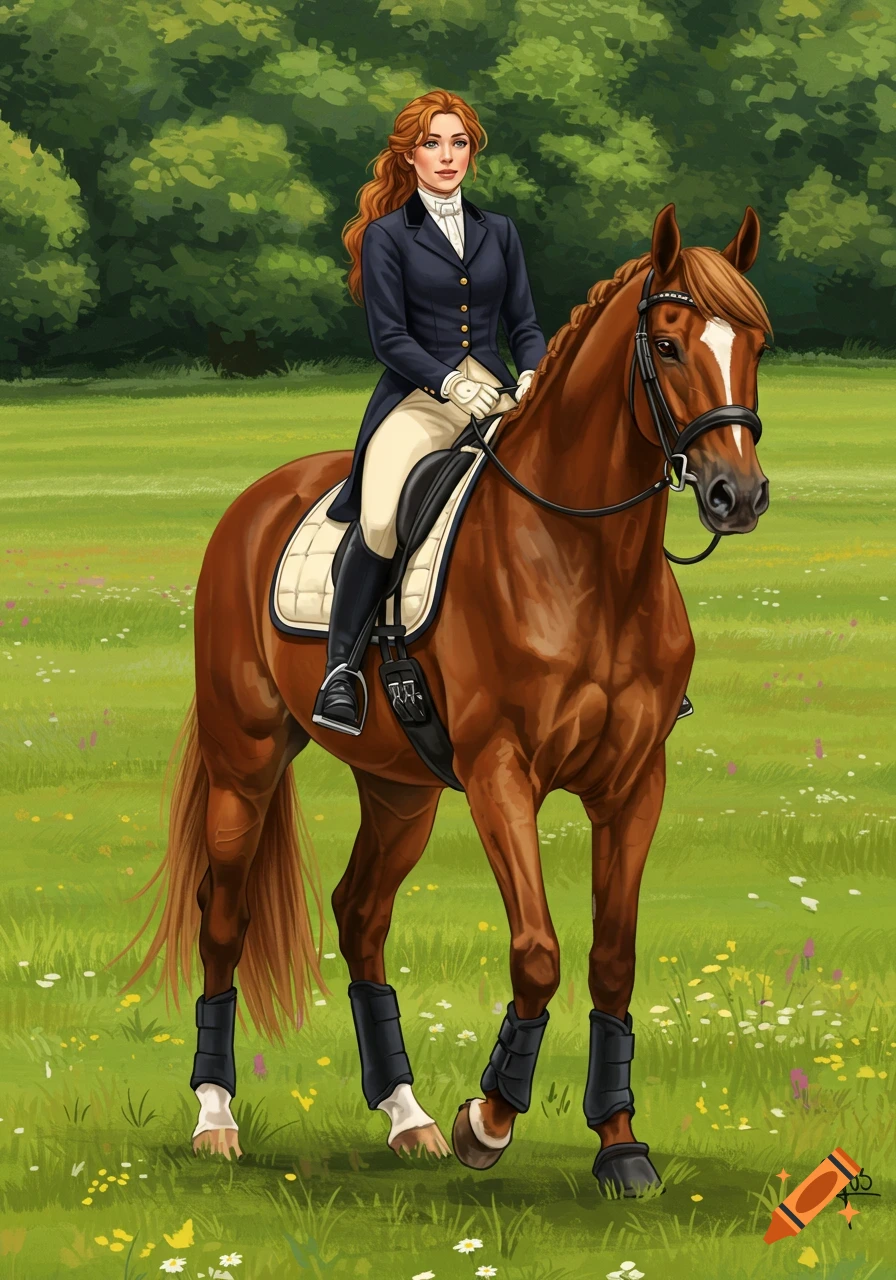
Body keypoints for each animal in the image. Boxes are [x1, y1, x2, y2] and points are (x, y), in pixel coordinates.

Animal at [115, 203, 770, 1196]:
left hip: (401, 787)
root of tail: (257, 499)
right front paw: (488, 1120)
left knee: (360, 913)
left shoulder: (633, 784)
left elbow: (611, 960)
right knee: (222, 918)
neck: (584, 565)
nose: (739, 496)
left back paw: (405, 1114)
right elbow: (537, 951)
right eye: (666, 343)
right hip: (246, 757)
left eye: (757, 344)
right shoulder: (502, 773)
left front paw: (618, 1145)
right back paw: (217, 1120)